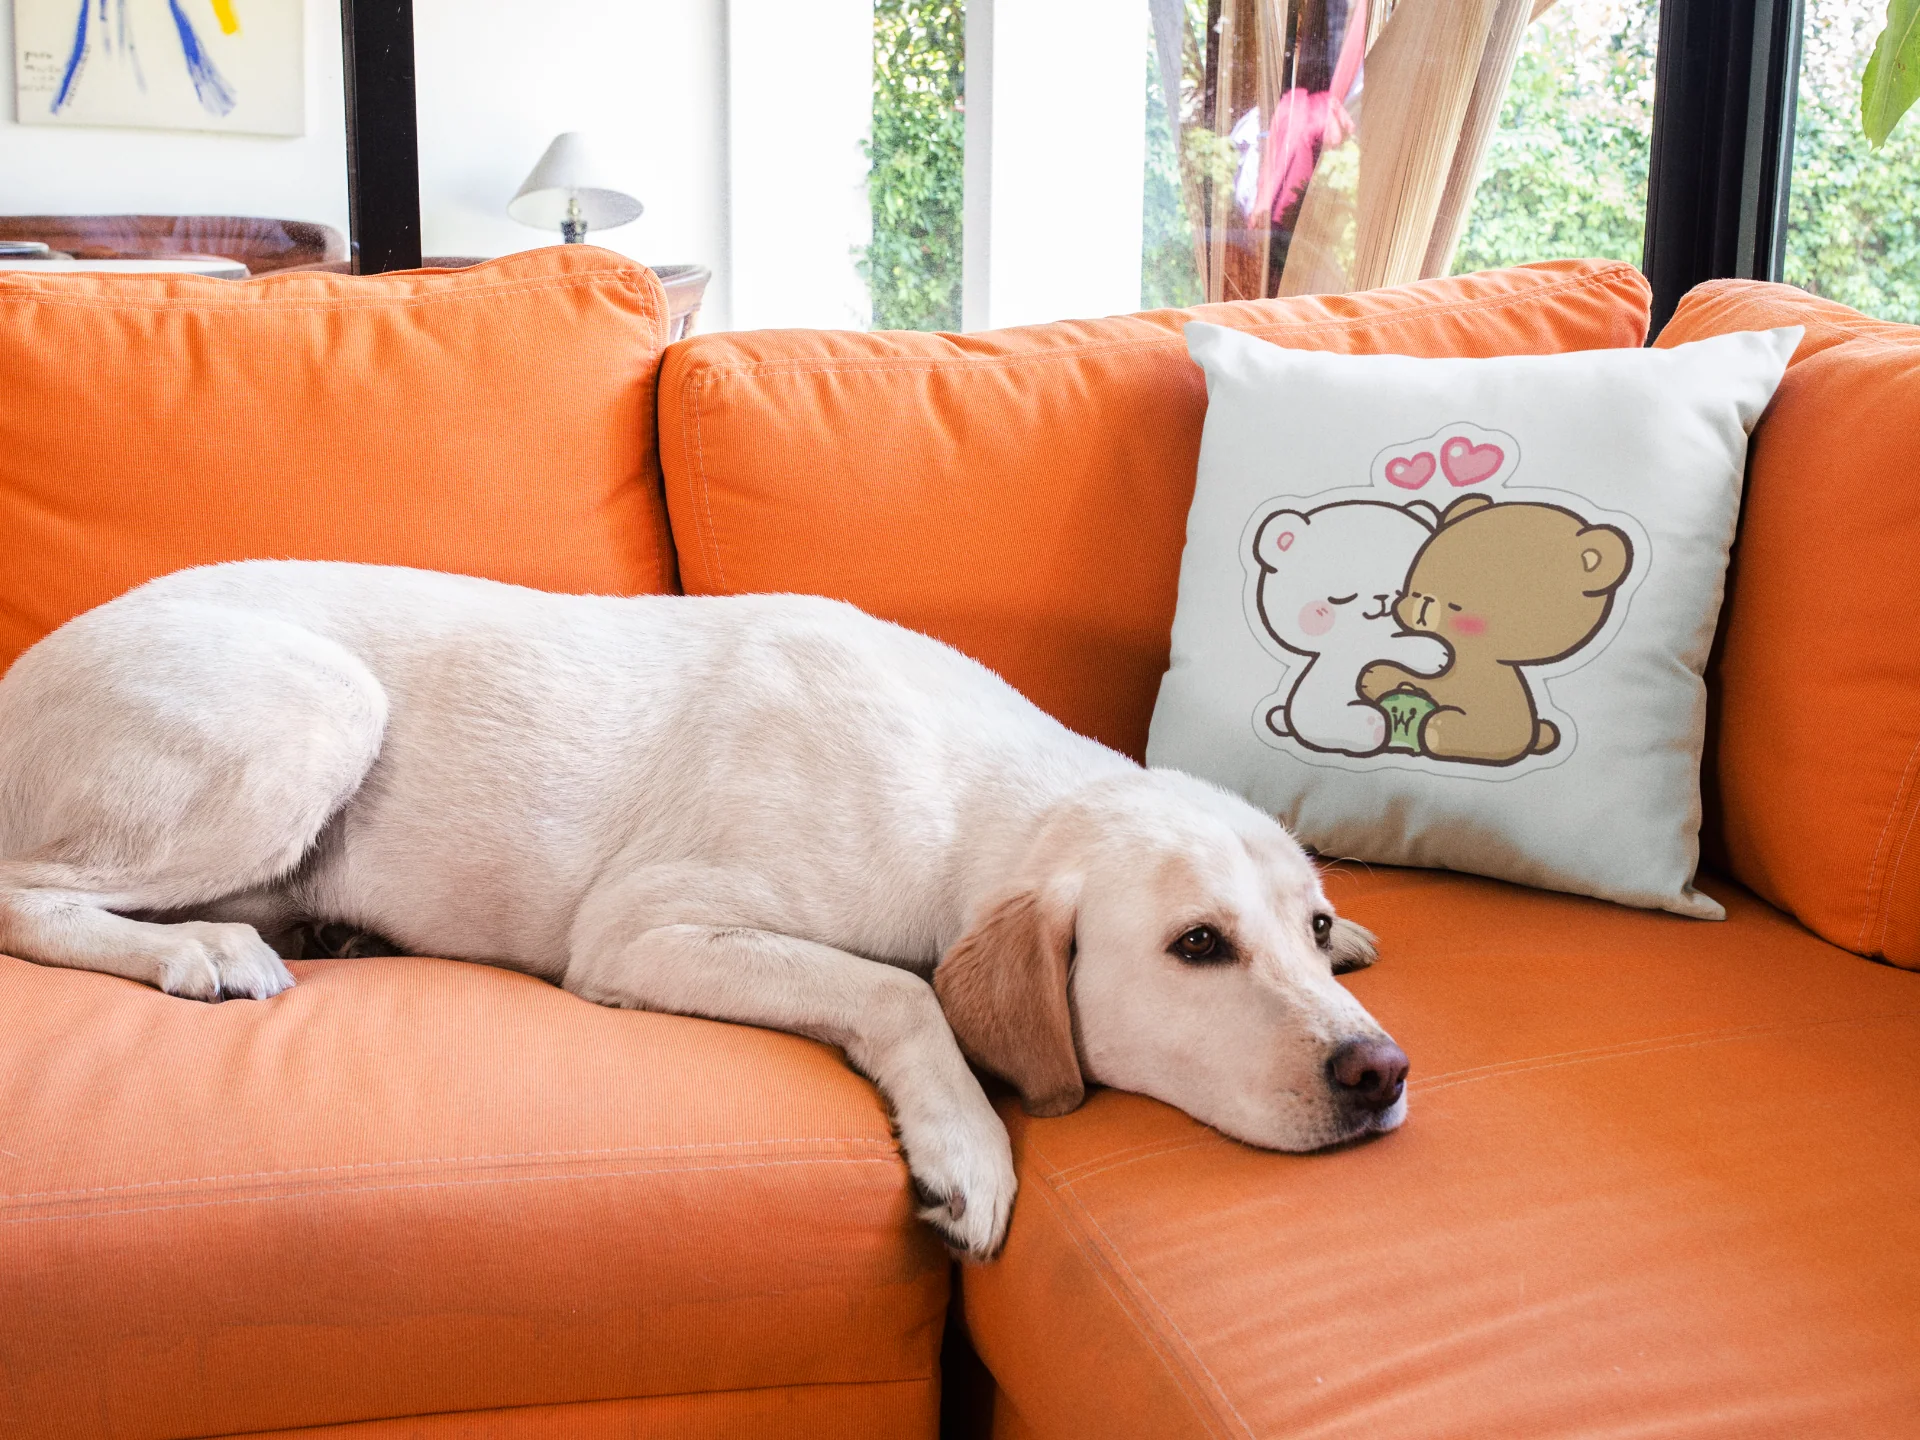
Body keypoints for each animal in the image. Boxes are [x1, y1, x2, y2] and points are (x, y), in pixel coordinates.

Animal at [1251, 499, 1448, 756]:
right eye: (1343, 598)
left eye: (1399, 593)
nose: (1382, 598)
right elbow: (1391, 643)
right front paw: (1434, 653)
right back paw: (1371, 726)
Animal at [1358, 494, 1633, 766]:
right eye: (1415, 590)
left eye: (1457, 604)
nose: (1424, 601)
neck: (1469, 656)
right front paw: (1378, 675)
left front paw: (1435, 725)